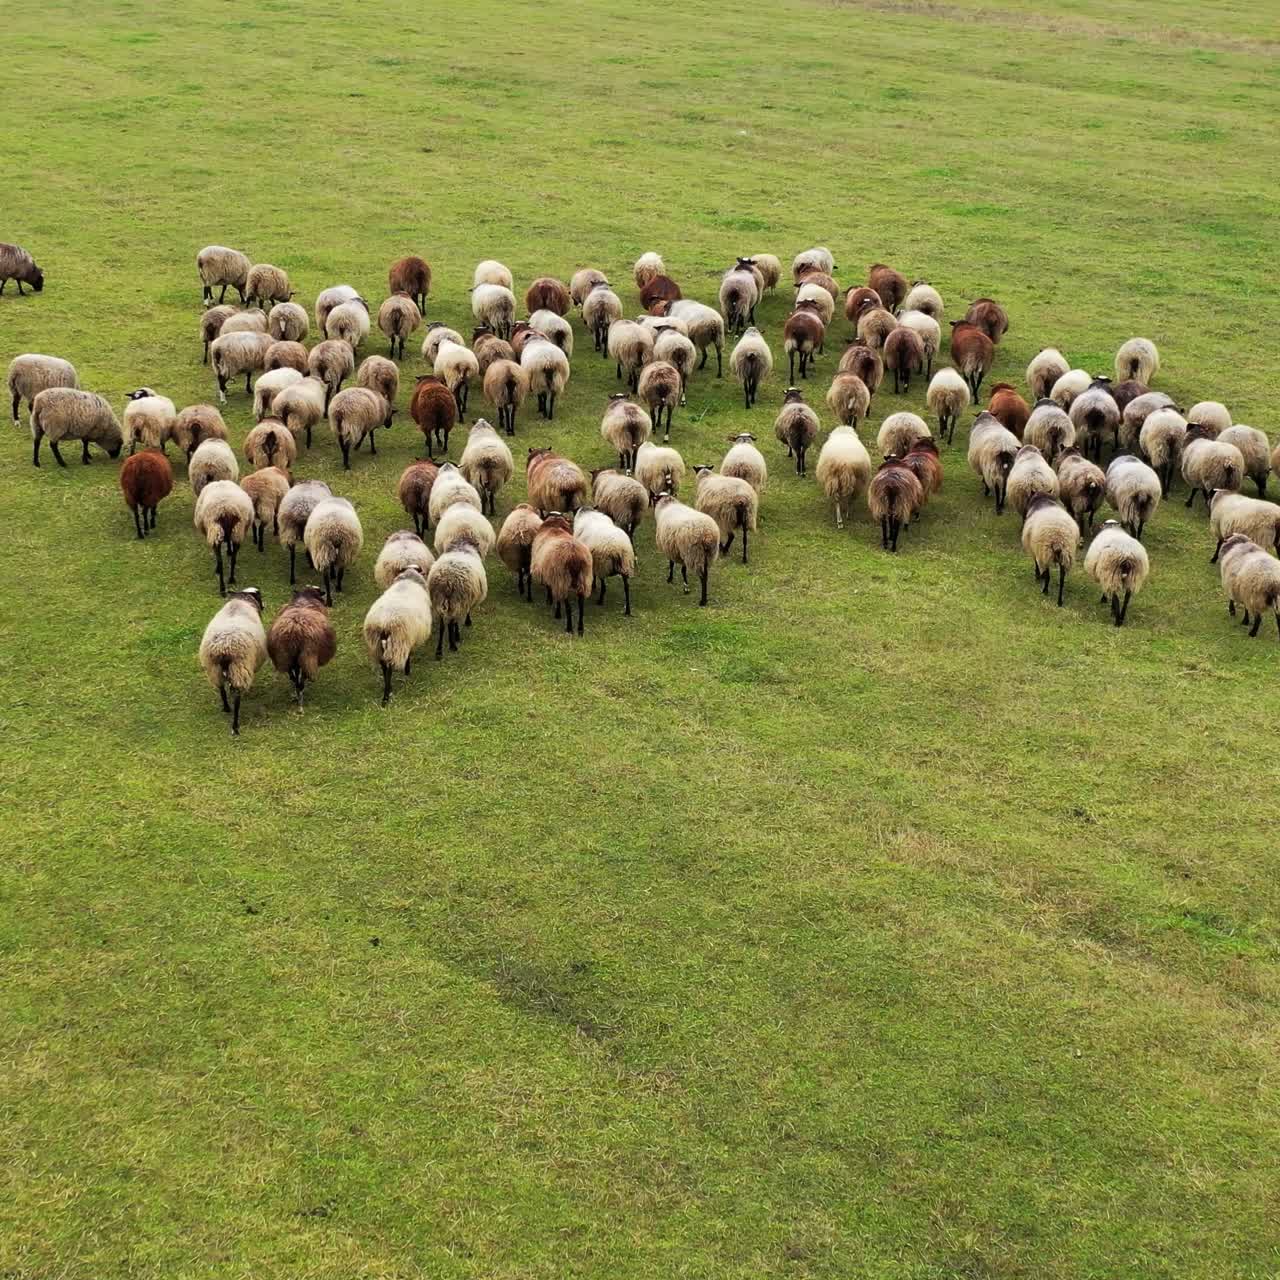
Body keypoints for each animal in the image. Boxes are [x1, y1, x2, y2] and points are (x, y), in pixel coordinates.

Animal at [198, 588, 265, 734]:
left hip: (214, 669)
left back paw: (226, 708)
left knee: (222, 690)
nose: (264, 605)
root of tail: (224, 648)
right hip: (239, 669)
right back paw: (235, 726)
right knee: (237, 700)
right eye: (259, 595)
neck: (240, 601)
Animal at [364, 568, 432, 704]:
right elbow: (409, 656)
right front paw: (407, 671)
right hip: (398, 642)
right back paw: (386, 695)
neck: (408, 580)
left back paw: (388, 687)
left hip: (377, 644)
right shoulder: (409, 639)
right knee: (389, 667)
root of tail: (384, 622)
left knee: (383, 666)